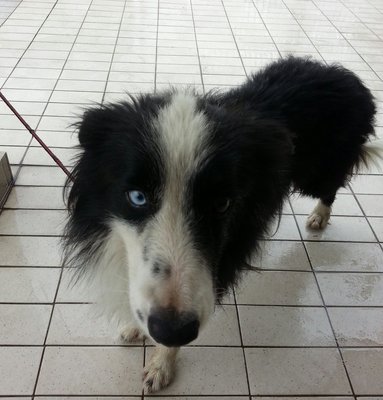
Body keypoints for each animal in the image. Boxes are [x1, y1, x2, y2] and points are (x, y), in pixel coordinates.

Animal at [63, 57, 380, 394]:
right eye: (137, 197)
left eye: (222, 204)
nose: (174, 330)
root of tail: (342, 73)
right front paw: (139, 330)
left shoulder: (227, 251)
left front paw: (161, 363)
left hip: (317, 172)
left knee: (332, 185)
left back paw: (320, 216)